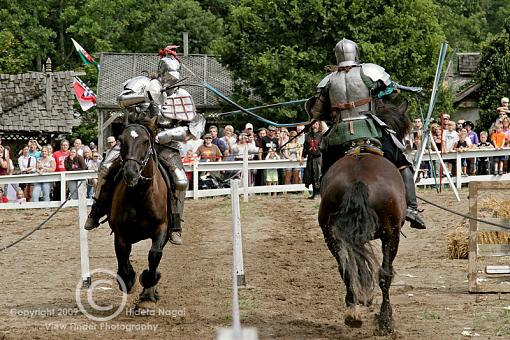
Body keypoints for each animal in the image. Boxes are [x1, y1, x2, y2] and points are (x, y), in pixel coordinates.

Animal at [109, 116, 169, 308]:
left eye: (145, 141)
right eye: (121, 141)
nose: (130, 173)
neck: (140, 196)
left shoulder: (161, 228)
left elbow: (154, 255)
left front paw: (149, 282)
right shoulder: (120, 234)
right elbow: (123, 259)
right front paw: (129, 279)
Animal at [318, 101, 410, 334]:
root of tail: (358, 180)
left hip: (331, 234)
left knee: (345, 268)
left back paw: (352, 311)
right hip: (391, 234)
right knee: (385, 274)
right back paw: (385, 320)